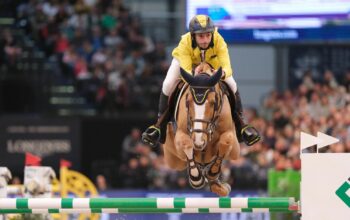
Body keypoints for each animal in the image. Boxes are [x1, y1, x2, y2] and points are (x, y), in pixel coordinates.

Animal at [162, 62, 239, 197]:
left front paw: (213, 173)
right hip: (174, 160)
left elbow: (226, 140)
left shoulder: (231, 139)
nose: (199, 141)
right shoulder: (180, 137)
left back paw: (219, 186)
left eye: (213, 102)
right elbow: (186, 143)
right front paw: (196, 178)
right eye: (187, 101)